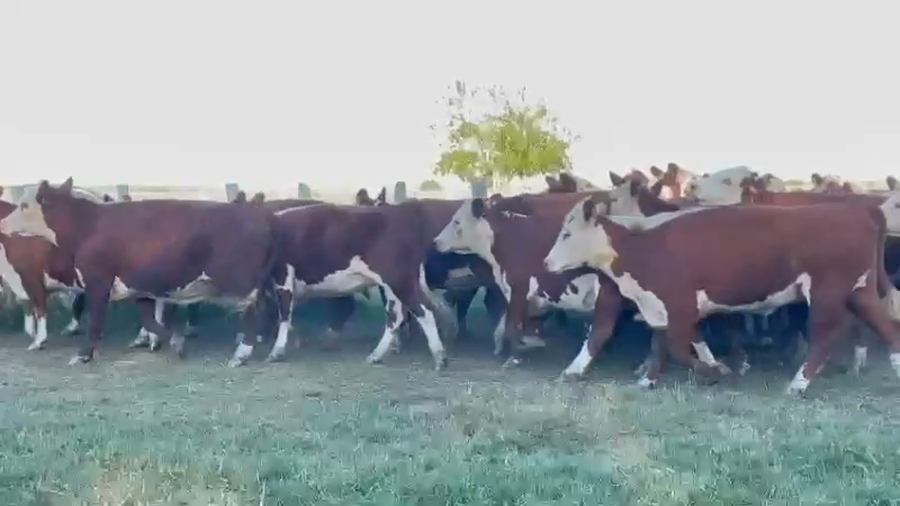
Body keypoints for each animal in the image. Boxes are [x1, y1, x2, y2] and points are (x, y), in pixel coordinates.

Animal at [0, 178, 287, 365]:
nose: (3, 223)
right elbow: (150, 320)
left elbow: (95, 320)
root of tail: (261, 214)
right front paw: (174, 342)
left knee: (255, 312)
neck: (89, 224)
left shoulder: (97, 280)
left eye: (25, 205)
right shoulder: (139, 284)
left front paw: (83, 355)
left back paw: (242, 353)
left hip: (241, 283)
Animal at [232, 199, 469, 370]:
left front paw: (273, 351)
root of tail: (398, 213)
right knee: (396, 315)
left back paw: (440, 358)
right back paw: (376, 355)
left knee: (423, 311)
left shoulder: (283, 277)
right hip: (392, 285)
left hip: (399, 279)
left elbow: (281, 313)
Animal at [543, 191, 900, 395]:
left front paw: (717, 372)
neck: (641, 243)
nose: (546, 263)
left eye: (567, 233)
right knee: (885, 327)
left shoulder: (680, 305)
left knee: (825, 337)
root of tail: (856, 210)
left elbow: (677, 347)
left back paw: (798, 383)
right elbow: (660, 344)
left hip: (826, 293)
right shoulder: (659, 304)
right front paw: (649, 379)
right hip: (859, 291)